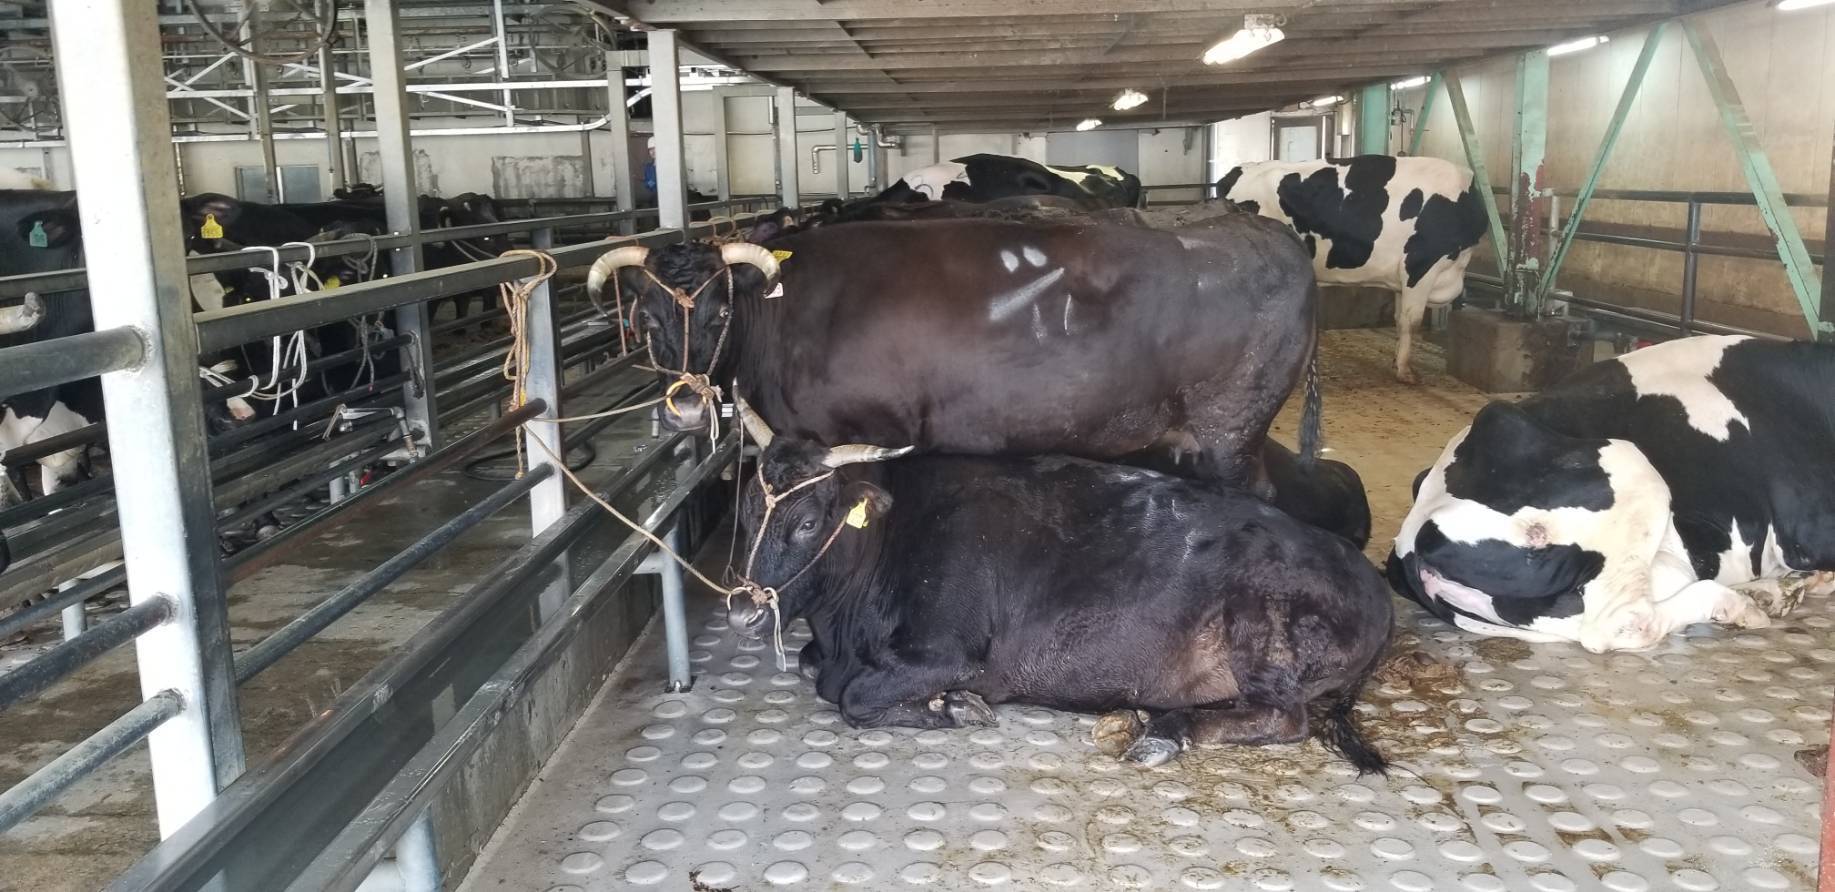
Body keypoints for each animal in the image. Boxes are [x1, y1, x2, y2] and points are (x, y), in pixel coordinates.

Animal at [589, 212, 1323, 495]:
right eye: (646, 317)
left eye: (720, 311)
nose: (685, 406)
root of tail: (1260, 227)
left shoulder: (864, 433)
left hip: (1232, 430)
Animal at [722, 410, 1393, 773]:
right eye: (747, 506)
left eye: (808, 522)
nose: (742, 612)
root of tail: (1375, 586)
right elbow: (817, 669)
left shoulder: (950, 652)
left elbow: (852, 695)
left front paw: (954, 707)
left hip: (1260, 635)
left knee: (1287, 718)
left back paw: (1165, 733)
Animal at [1216, 155, 1488, 384]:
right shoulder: (1421, 266)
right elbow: (1412, 321)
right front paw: (1405, 371)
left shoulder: (1403, 278)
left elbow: (1400, 319)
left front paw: (1396, 362)